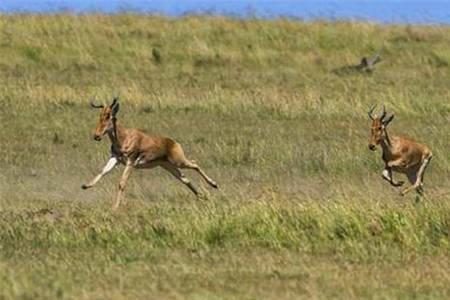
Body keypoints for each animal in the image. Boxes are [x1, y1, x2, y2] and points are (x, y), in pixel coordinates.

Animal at [83, 98, 220, 209]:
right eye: (100, 116)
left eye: (109, 116)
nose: (96, 136)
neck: (125, 136)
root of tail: (174, 142)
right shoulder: (115, 158)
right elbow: (103, 171)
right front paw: (86, 185)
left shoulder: (130, 162)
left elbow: (122, 183)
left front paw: (115, 207)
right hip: (168, 166)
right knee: (184, 179)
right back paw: (202, 197)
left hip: (179, 161)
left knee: (195, 164)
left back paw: (214, 184)